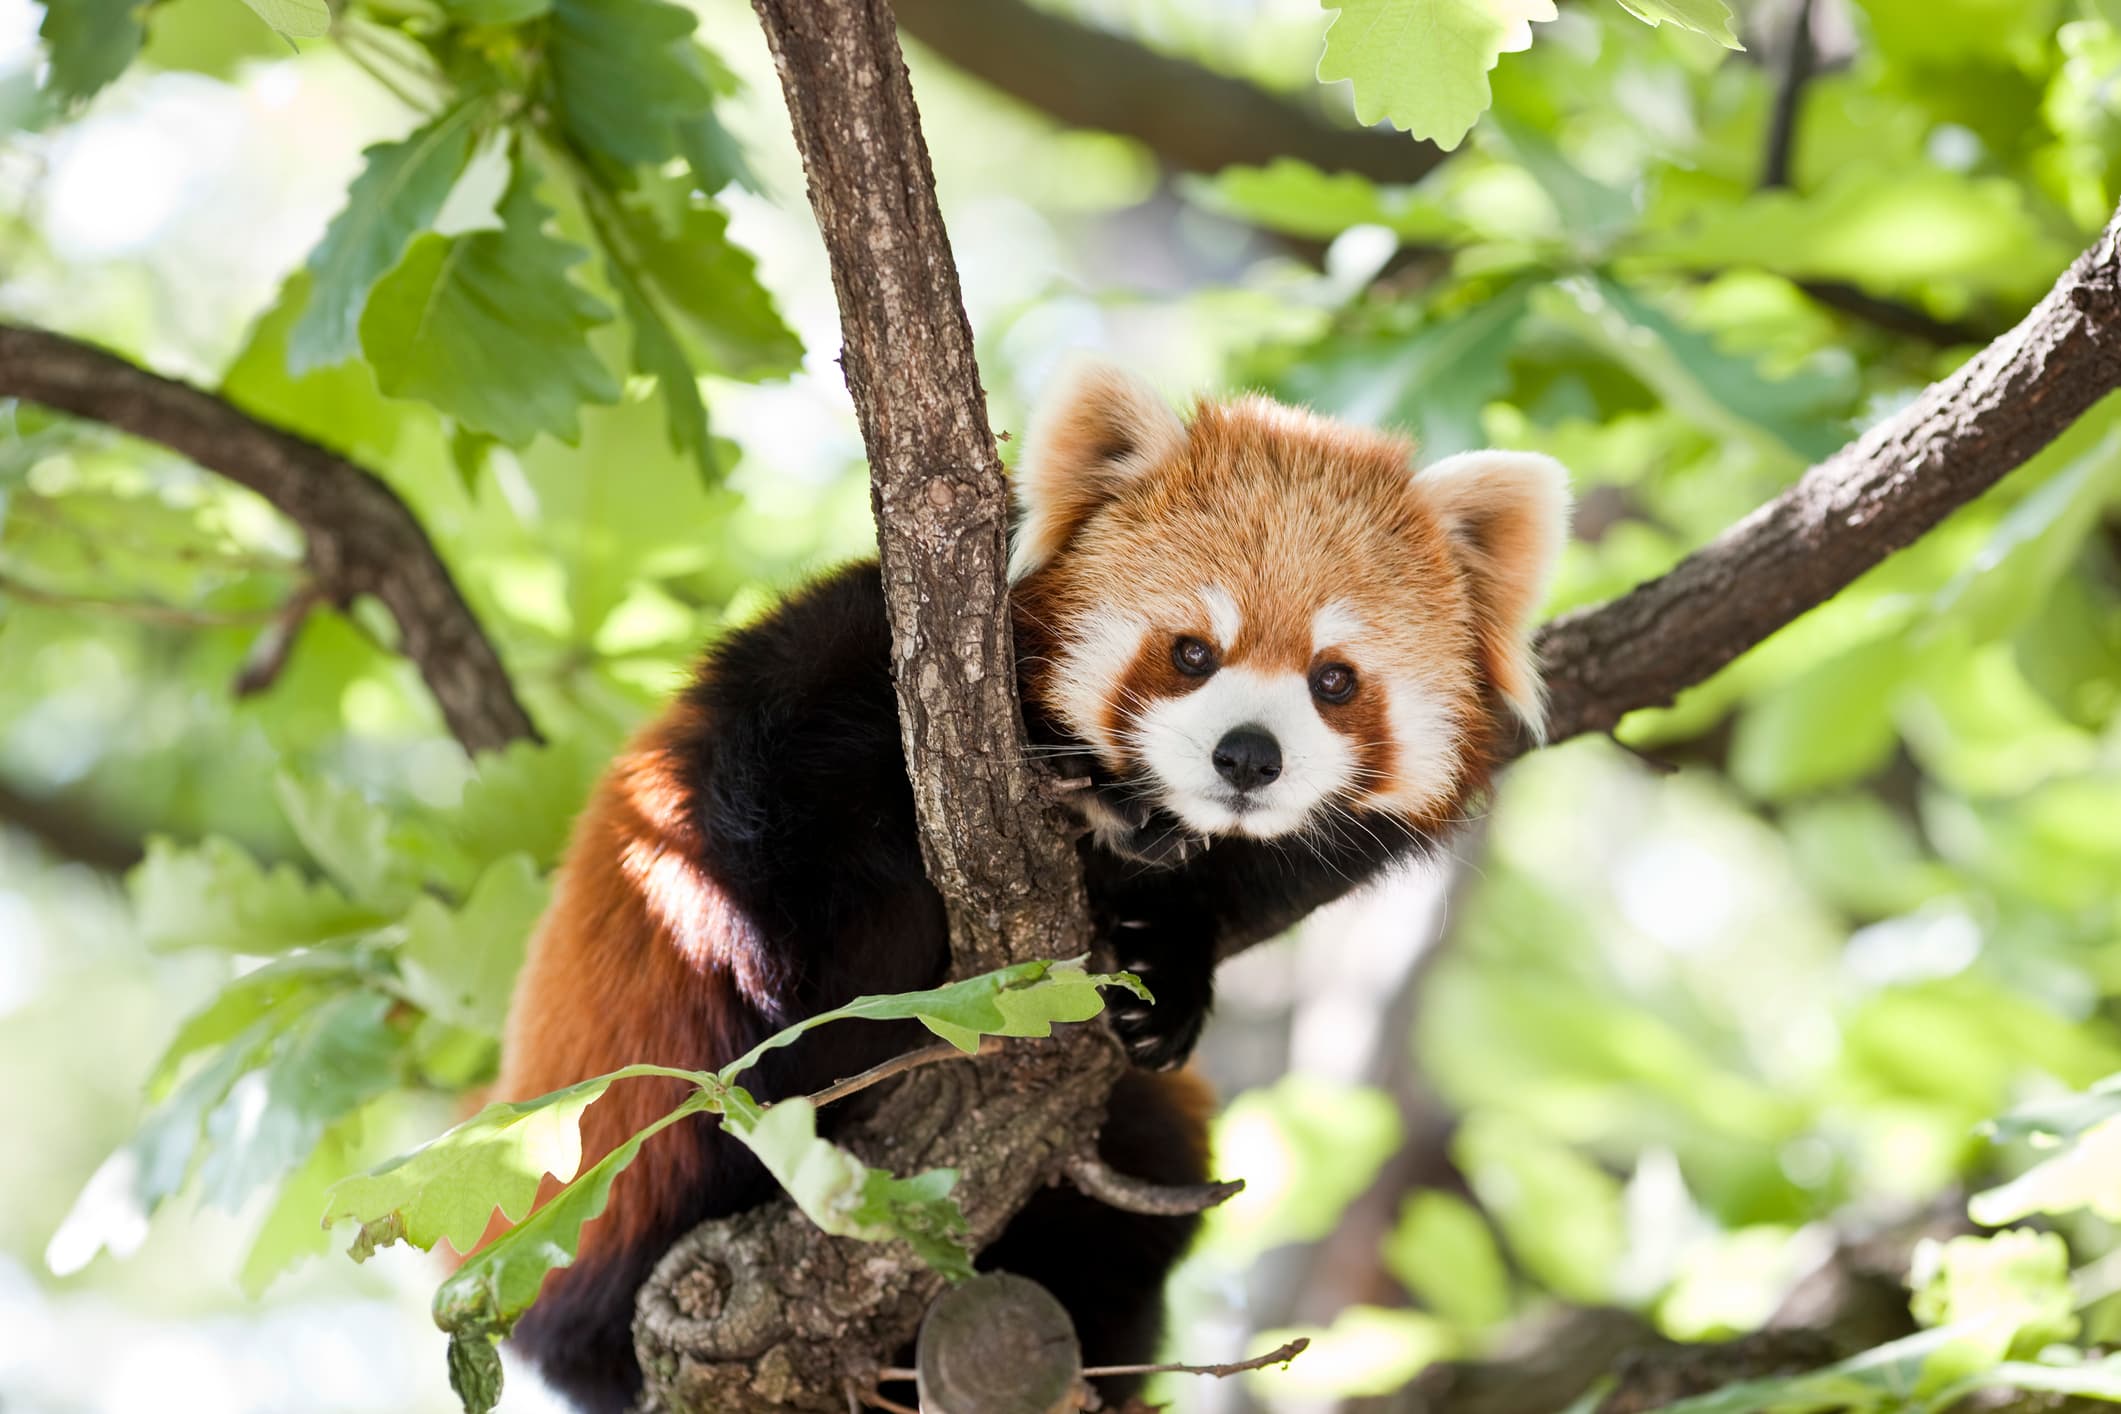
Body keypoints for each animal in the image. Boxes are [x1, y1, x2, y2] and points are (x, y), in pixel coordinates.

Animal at [482, 362, 1571, 1412]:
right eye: (1191, 653)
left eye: (1333, 679)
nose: (1247, 755)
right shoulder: (795, 731)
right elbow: (788, 839)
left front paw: (1165, 971)